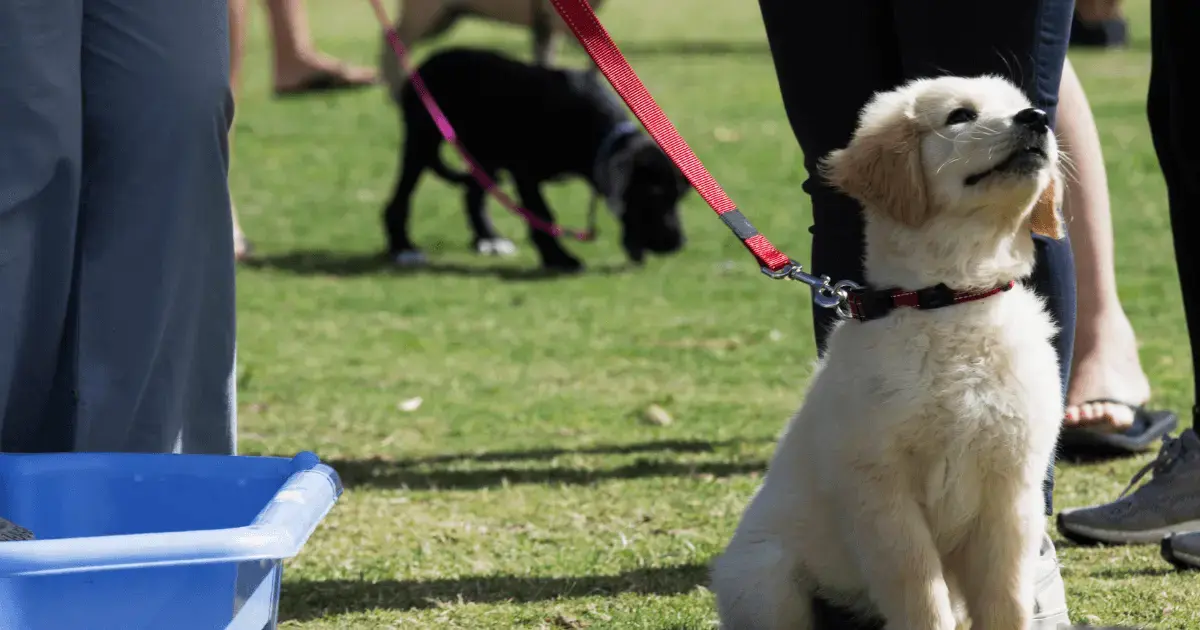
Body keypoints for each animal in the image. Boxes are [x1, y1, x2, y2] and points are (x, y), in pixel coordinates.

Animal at [388, 46, 691, 267]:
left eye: (680, 197)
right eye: (653, 195)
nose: (676, 244)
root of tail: (423, 66)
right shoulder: (525, 172)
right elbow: (541, 213)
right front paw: (559, 258)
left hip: (486, 157)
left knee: (473, 195)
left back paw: (489, 239)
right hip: (422, 141)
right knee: (400, 199)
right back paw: (403, 247)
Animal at [705, 76, 1065, 628]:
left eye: (1022, 105)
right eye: (960, 115)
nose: (1037, 118)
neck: (952, 301)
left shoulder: (1012, 490)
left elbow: (1006, 599)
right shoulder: (882, 492)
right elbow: (921, 596)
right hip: (765, 578)